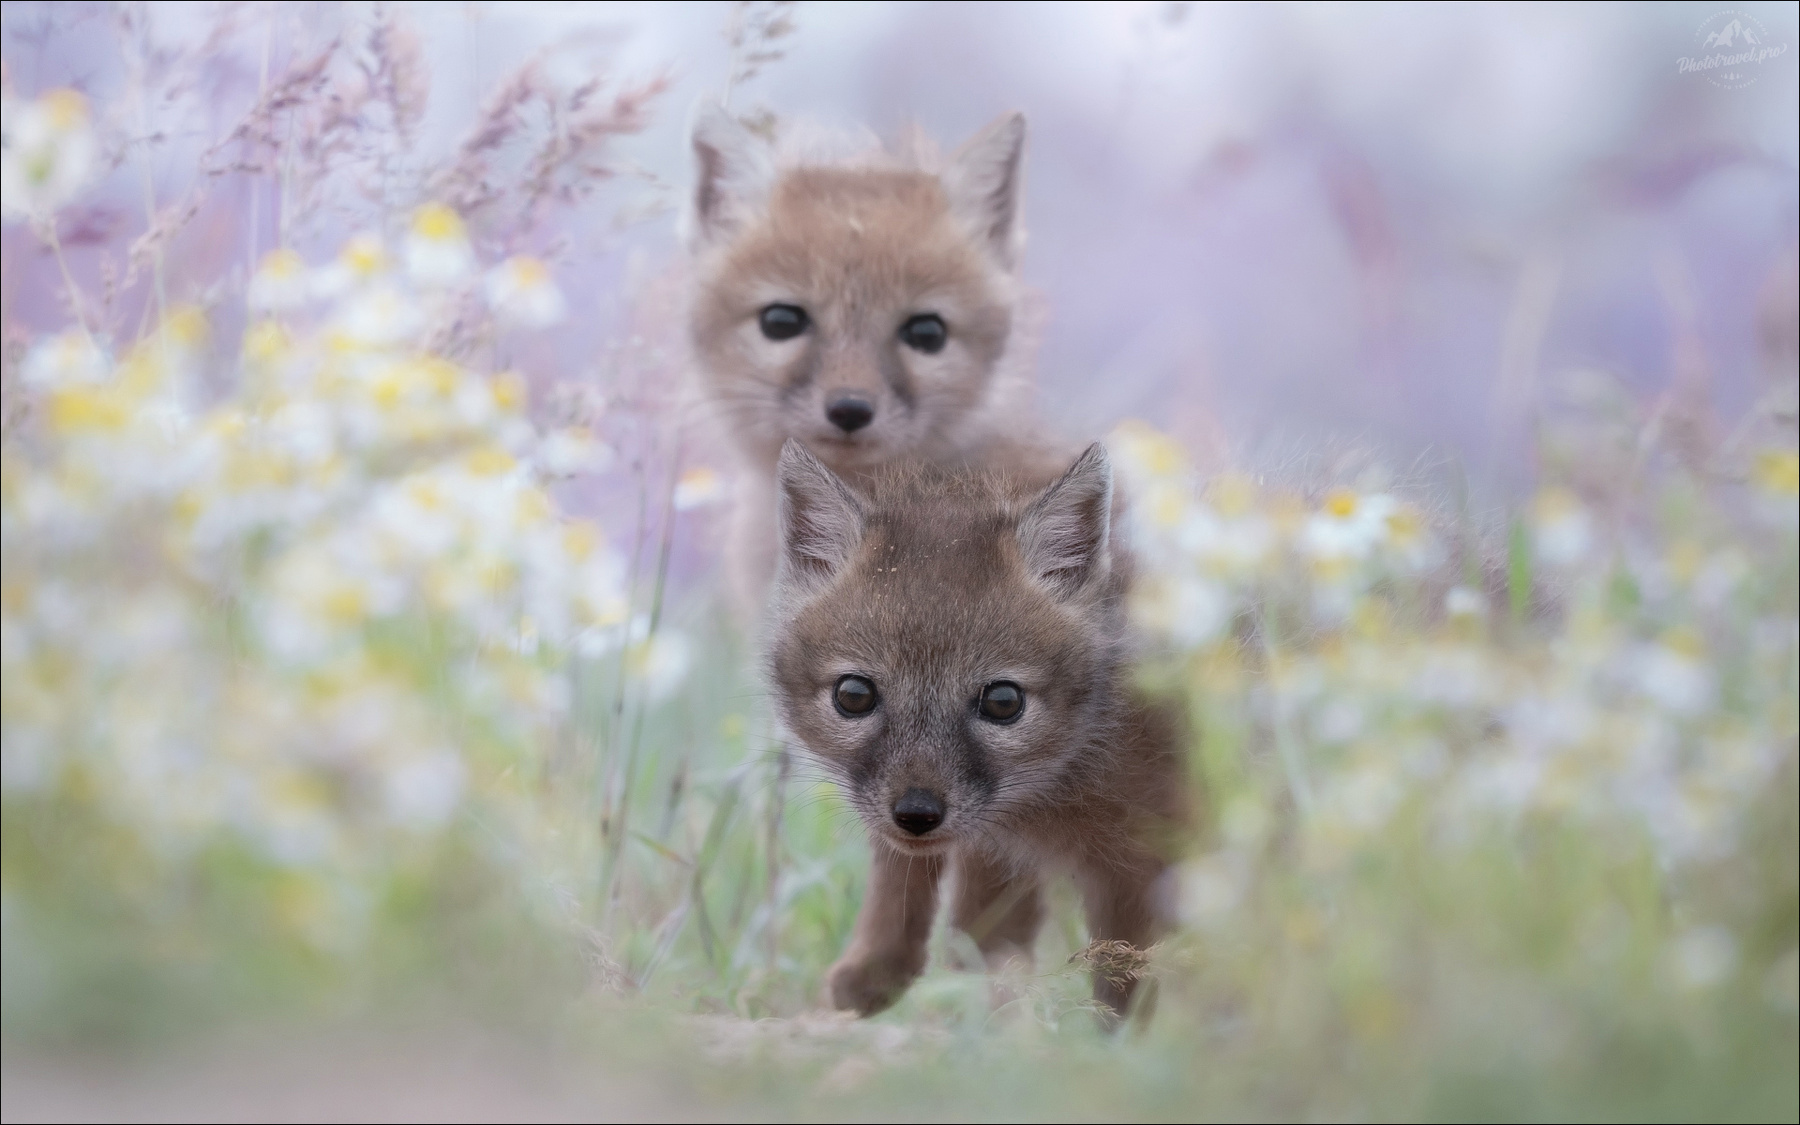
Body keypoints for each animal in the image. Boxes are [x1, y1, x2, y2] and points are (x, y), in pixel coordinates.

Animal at [766, 438, 1188, 1020]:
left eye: (1002, 702)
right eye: (854, 695)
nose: (916, 814)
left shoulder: (1138, 873)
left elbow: (1123, 997)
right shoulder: (995, 854)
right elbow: (958, 927)